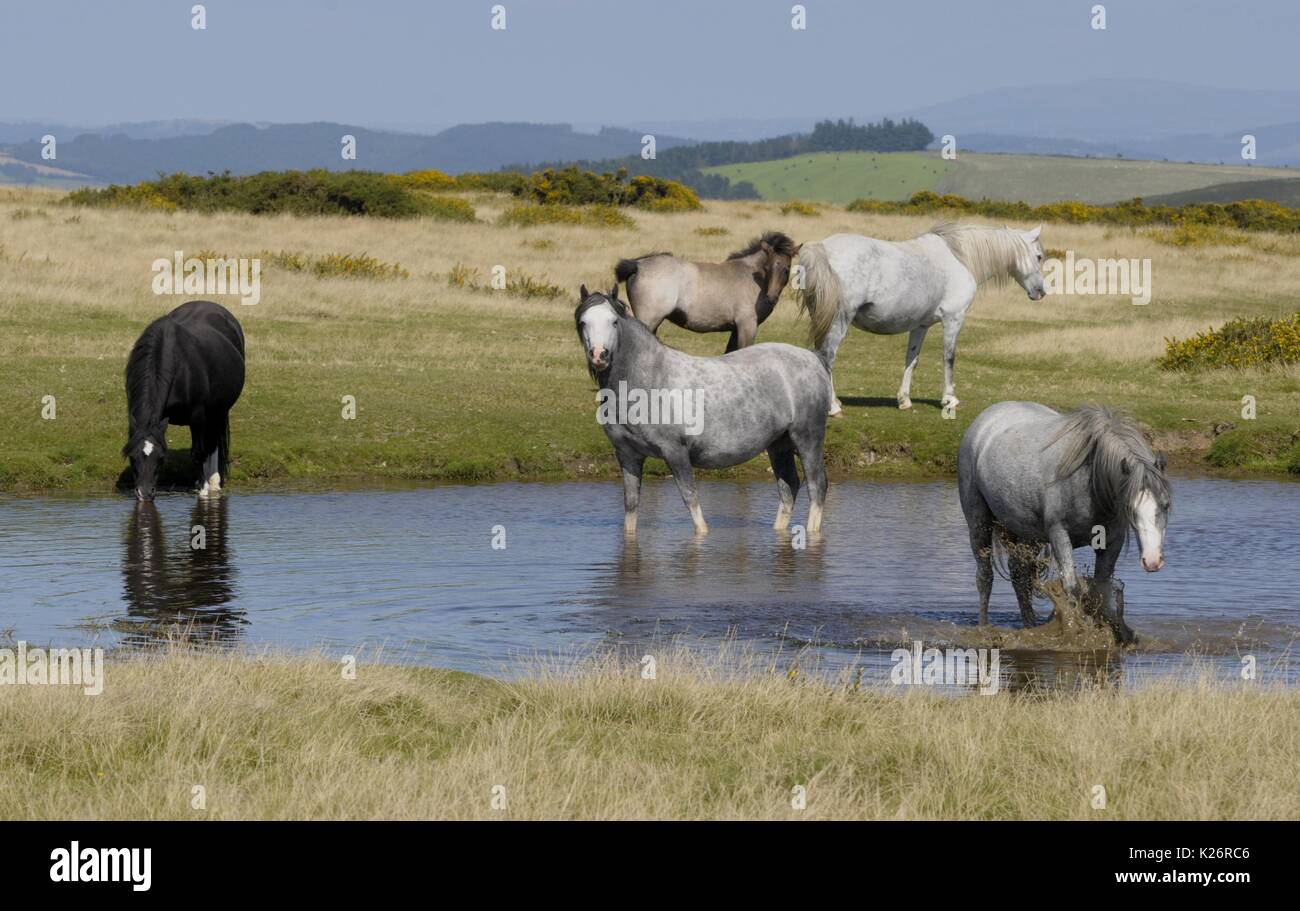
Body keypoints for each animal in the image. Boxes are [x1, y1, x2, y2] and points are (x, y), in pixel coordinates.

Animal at [123, 300, 245, 500]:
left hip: (218, 412)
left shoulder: (197, 415)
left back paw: (212, 482)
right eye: (132, 457)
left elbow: (198, 452)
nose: (145, 493)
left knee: (212, 445)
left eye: (161, 458)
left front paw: (204, 490)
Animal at [575, 284, 831, 535]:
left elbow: (691, 501)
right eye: (583, 322)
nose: (599, 355)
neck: (646, 381)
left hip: (807, 439)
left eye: (614, 321)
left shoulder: (675, 452)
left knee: (817, 486)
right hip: (779, 444)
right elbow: (630, 506)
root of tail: (814, 359)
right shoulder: (628, 455)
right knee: (789, 487)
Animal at [614, 231, 798, 352]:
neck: (751, 277)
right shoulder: (747, 326)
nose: (771, 298)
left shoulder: (735, 329)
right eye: (767, 268)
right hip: (649, 320)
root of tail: (638, 265)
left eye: (786, 269)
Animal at [796, 223, 1045, 415]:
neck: (960, 258)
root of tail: (822, 248)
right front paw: (949, 399)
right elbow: (949, 358)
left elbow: (912, 359)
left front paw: (904, 400)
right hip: (838, 322)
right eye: (1039, 256)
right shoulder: (954, 319)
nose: (1041, 292)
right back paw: (833, 407)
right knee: (827, 357)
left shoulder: (920, 325)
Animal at [958, 402, 1171, 638]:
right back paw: (983, 626)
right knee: (985, 576)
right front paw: (1076, 631)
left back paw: (1030, 626)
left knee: (1019, 574)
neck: (1089, 481)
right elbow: (1071, 586)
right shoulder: (1059, 535)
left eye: (1166, 505)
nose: (1152, 561)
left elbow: (1101, 588)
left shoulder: (1112, 541)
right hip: (979, 524)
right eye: (1130, 508)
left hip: (1028, 535)